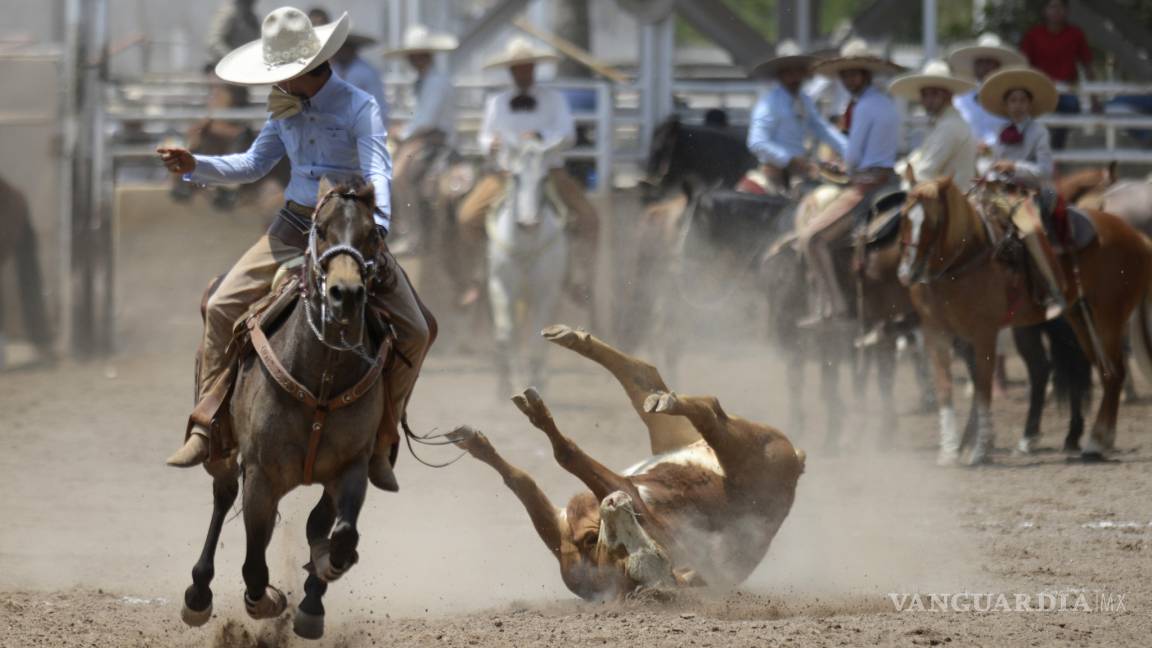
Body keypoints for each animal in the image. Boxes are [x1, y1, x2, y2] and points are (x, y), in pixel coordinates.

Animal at [180, 176, 396, 636]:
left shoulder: (351, 469)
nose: (345, 294)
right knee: (223, 495)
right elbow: (253, 566)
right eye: (321, 229)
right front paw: (266, 601)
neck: (323, 377)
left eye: (373, 233)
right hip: (222, 446)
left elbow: (339, 534)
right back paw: (198, 595)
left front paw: (323, 576)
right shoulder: (262, 475)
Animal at [444, 325, 806, 599]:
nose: (617, 505)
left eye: (656, 555)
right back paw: (575, 340)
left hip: (746, 456)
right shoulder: (558, 528)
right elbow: (521, 480)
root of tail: (797, 462)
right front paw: (475, 442)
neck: (590, 544)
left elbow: (563, 456)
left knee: (709, 408)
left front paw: (537, 415)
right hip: (676, 434)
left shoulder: (624, 498)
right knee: (652, 378)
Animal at [488, 138, 569, 396]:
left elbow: (537, 339)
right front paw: (511, 385)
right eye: (515, 176)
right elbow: (508, 334)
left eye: (544, 178)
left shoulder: (546, 292)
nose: (528, 223)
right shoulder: (501, 287)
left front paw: (535, 382)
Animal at [898, 174, 1152, 461]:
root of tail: (1137, 237)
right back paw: (1094, 441)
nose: (907, 273)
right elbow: (945, 389)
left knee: (1112, 372)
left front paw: (979, 451)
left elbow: (983, 387)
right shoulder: (936, 333)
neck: (966, 259)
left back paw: (1093, 442)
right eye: (904, 217)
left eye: (933, 221)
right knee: (1102, 372)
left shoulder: (983, 333)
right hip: (1080, 317)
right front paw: (950, 451)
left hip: (1108, 318)